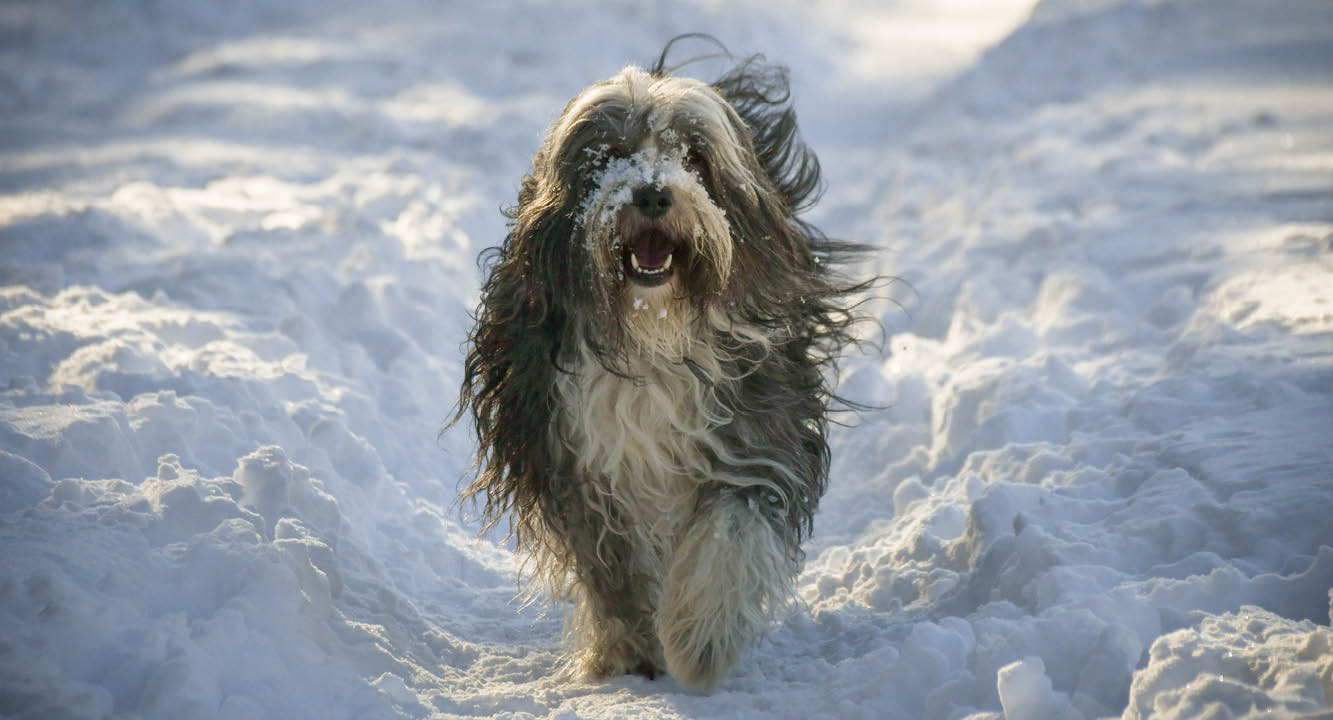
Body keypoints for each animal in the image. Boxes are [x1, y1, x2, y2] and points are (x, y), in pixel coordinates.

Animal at [458, 36, 869, 688]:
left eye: (693, 157)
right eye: (608, 155)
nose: (651, 192)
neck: (649, 333)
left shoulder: (755, 426)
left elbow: (733, 525)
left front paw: (699, 642)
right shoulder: (568, 453)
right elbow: (609, 567)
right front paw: (627, 650)